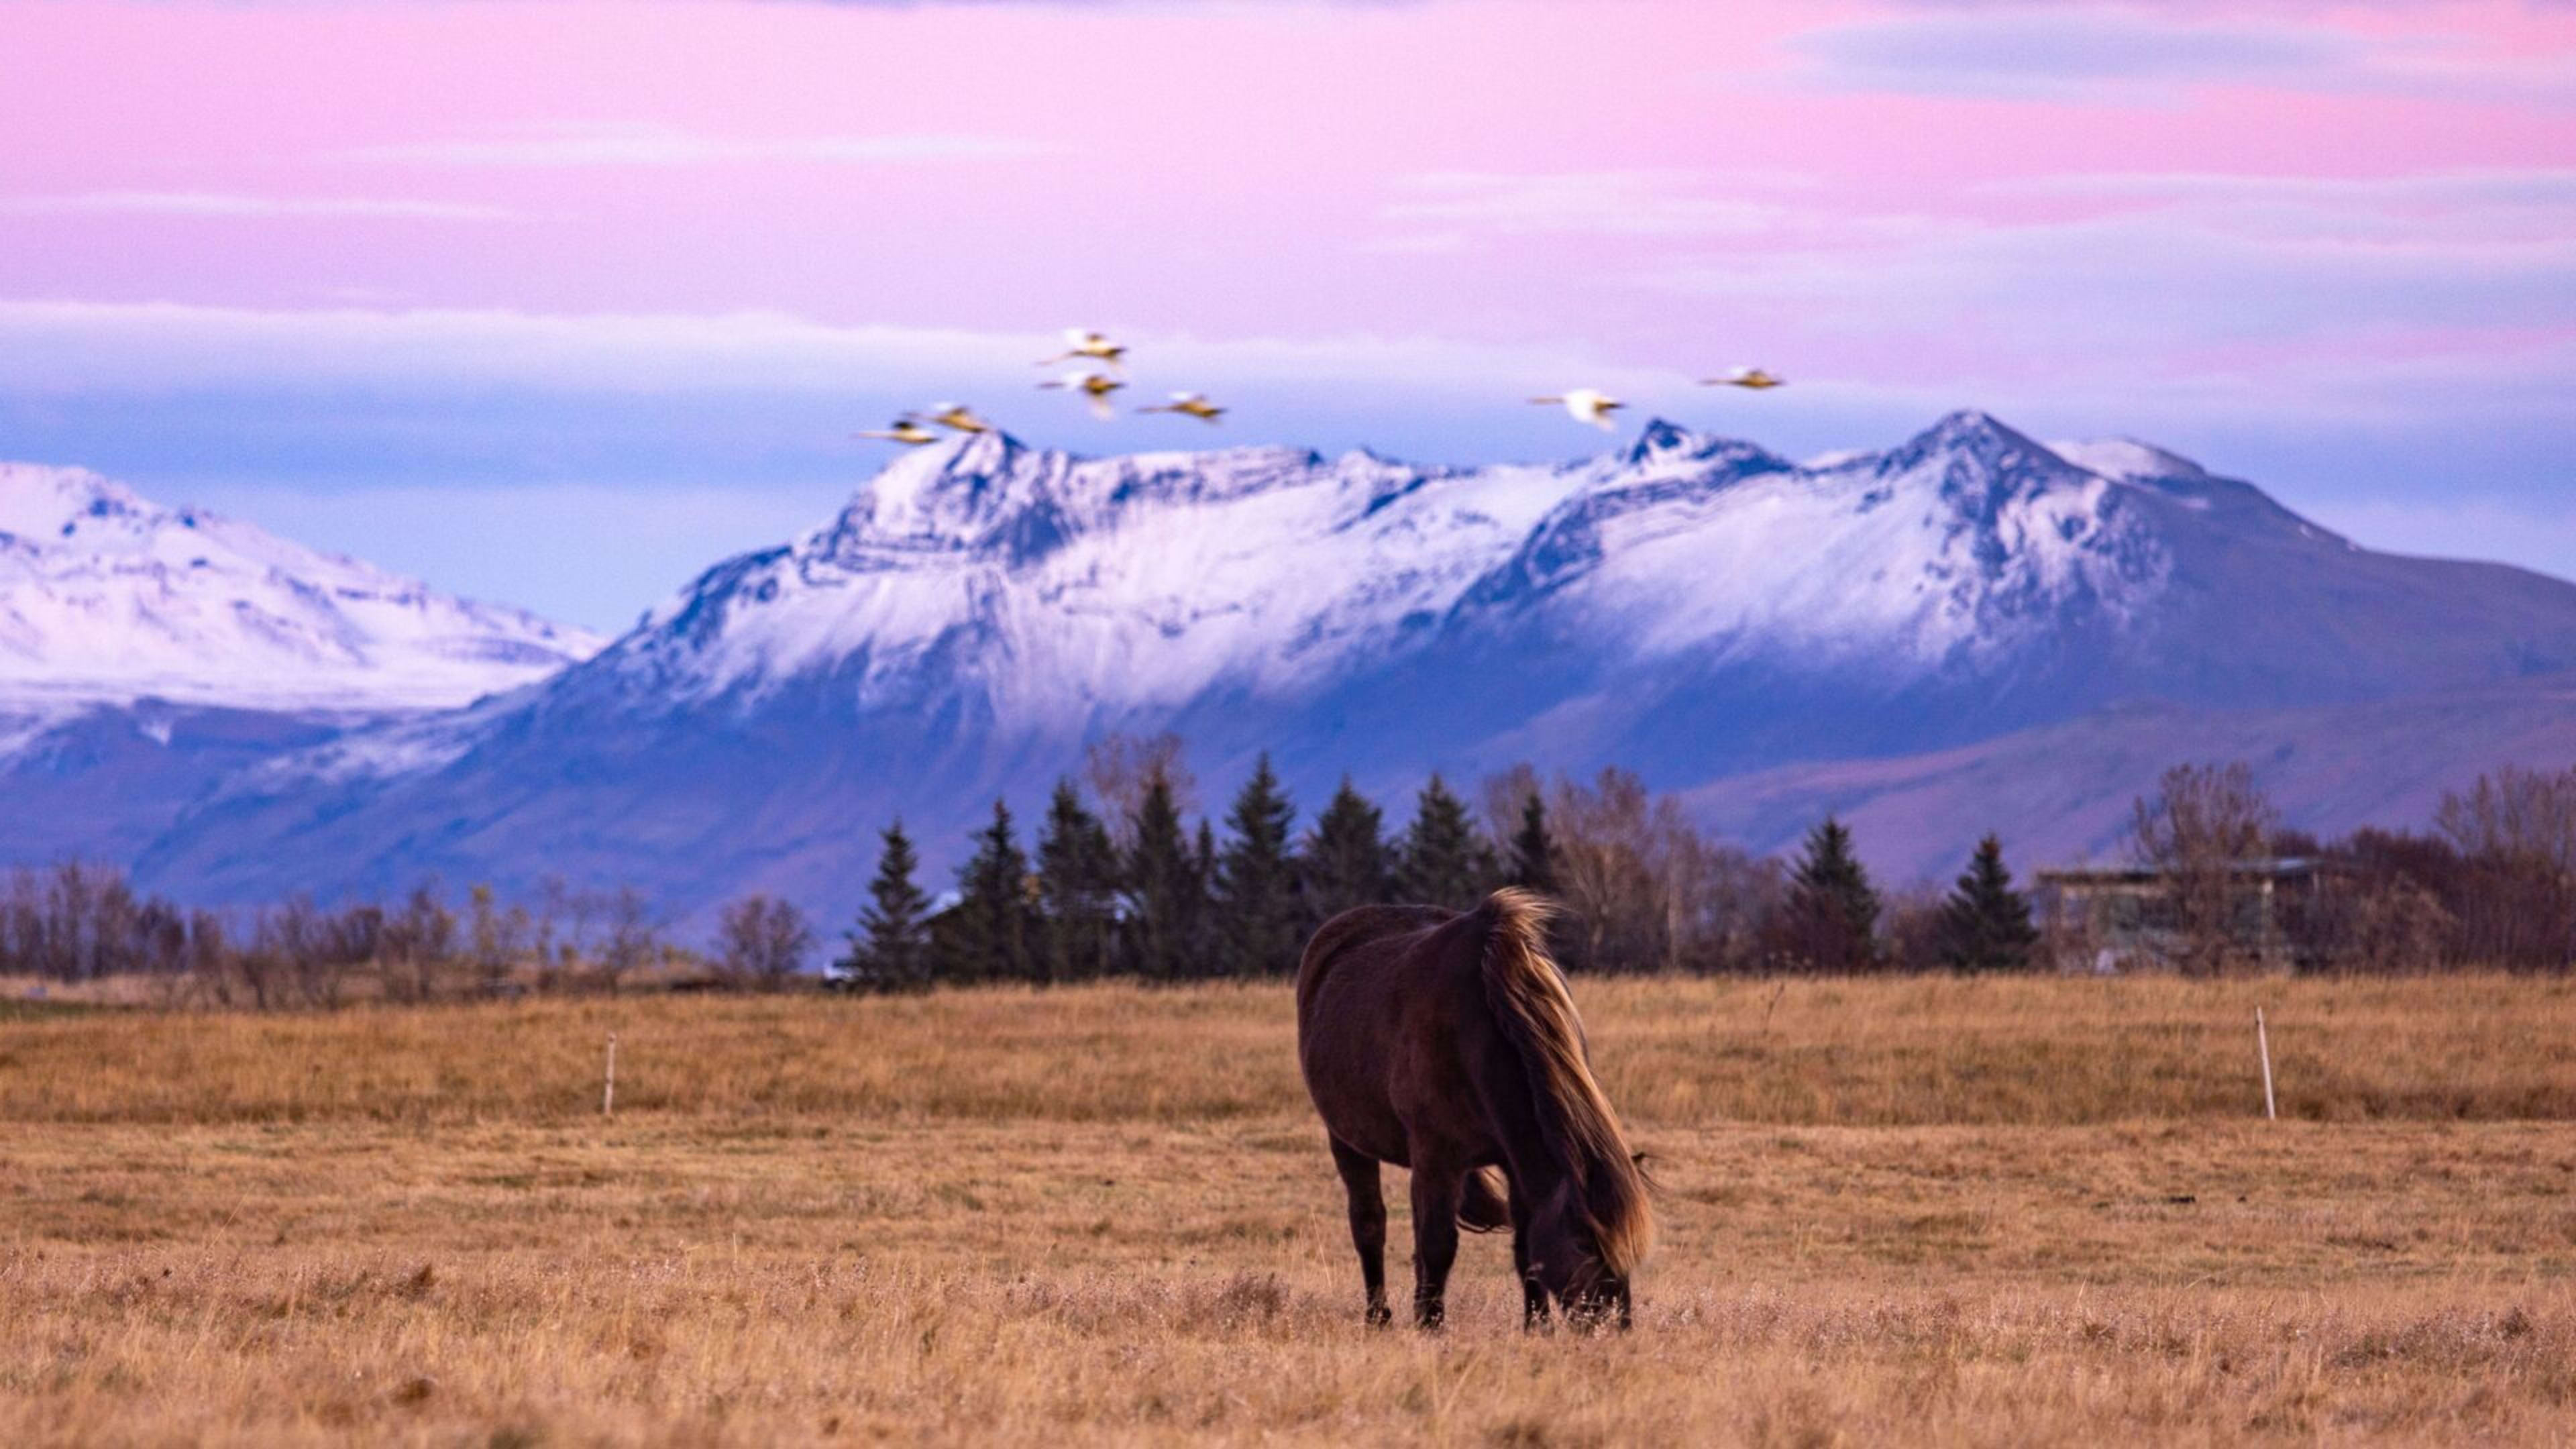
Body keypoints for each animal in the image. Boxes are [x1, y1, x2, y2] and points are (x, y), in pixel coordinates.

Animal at [1298, 887, 1658, 1330]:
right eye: (1584, 1243)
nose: (1614, 1324)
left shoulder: (1514, 1161)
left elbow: (1526, 1248)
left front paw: (1537, 1327)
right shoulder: (1437, 1159)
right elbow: (1437, 1244)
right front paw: (1430, 1325)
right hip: (1348, 1142)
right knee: (1369, 1224)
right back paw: (1378, 1317)